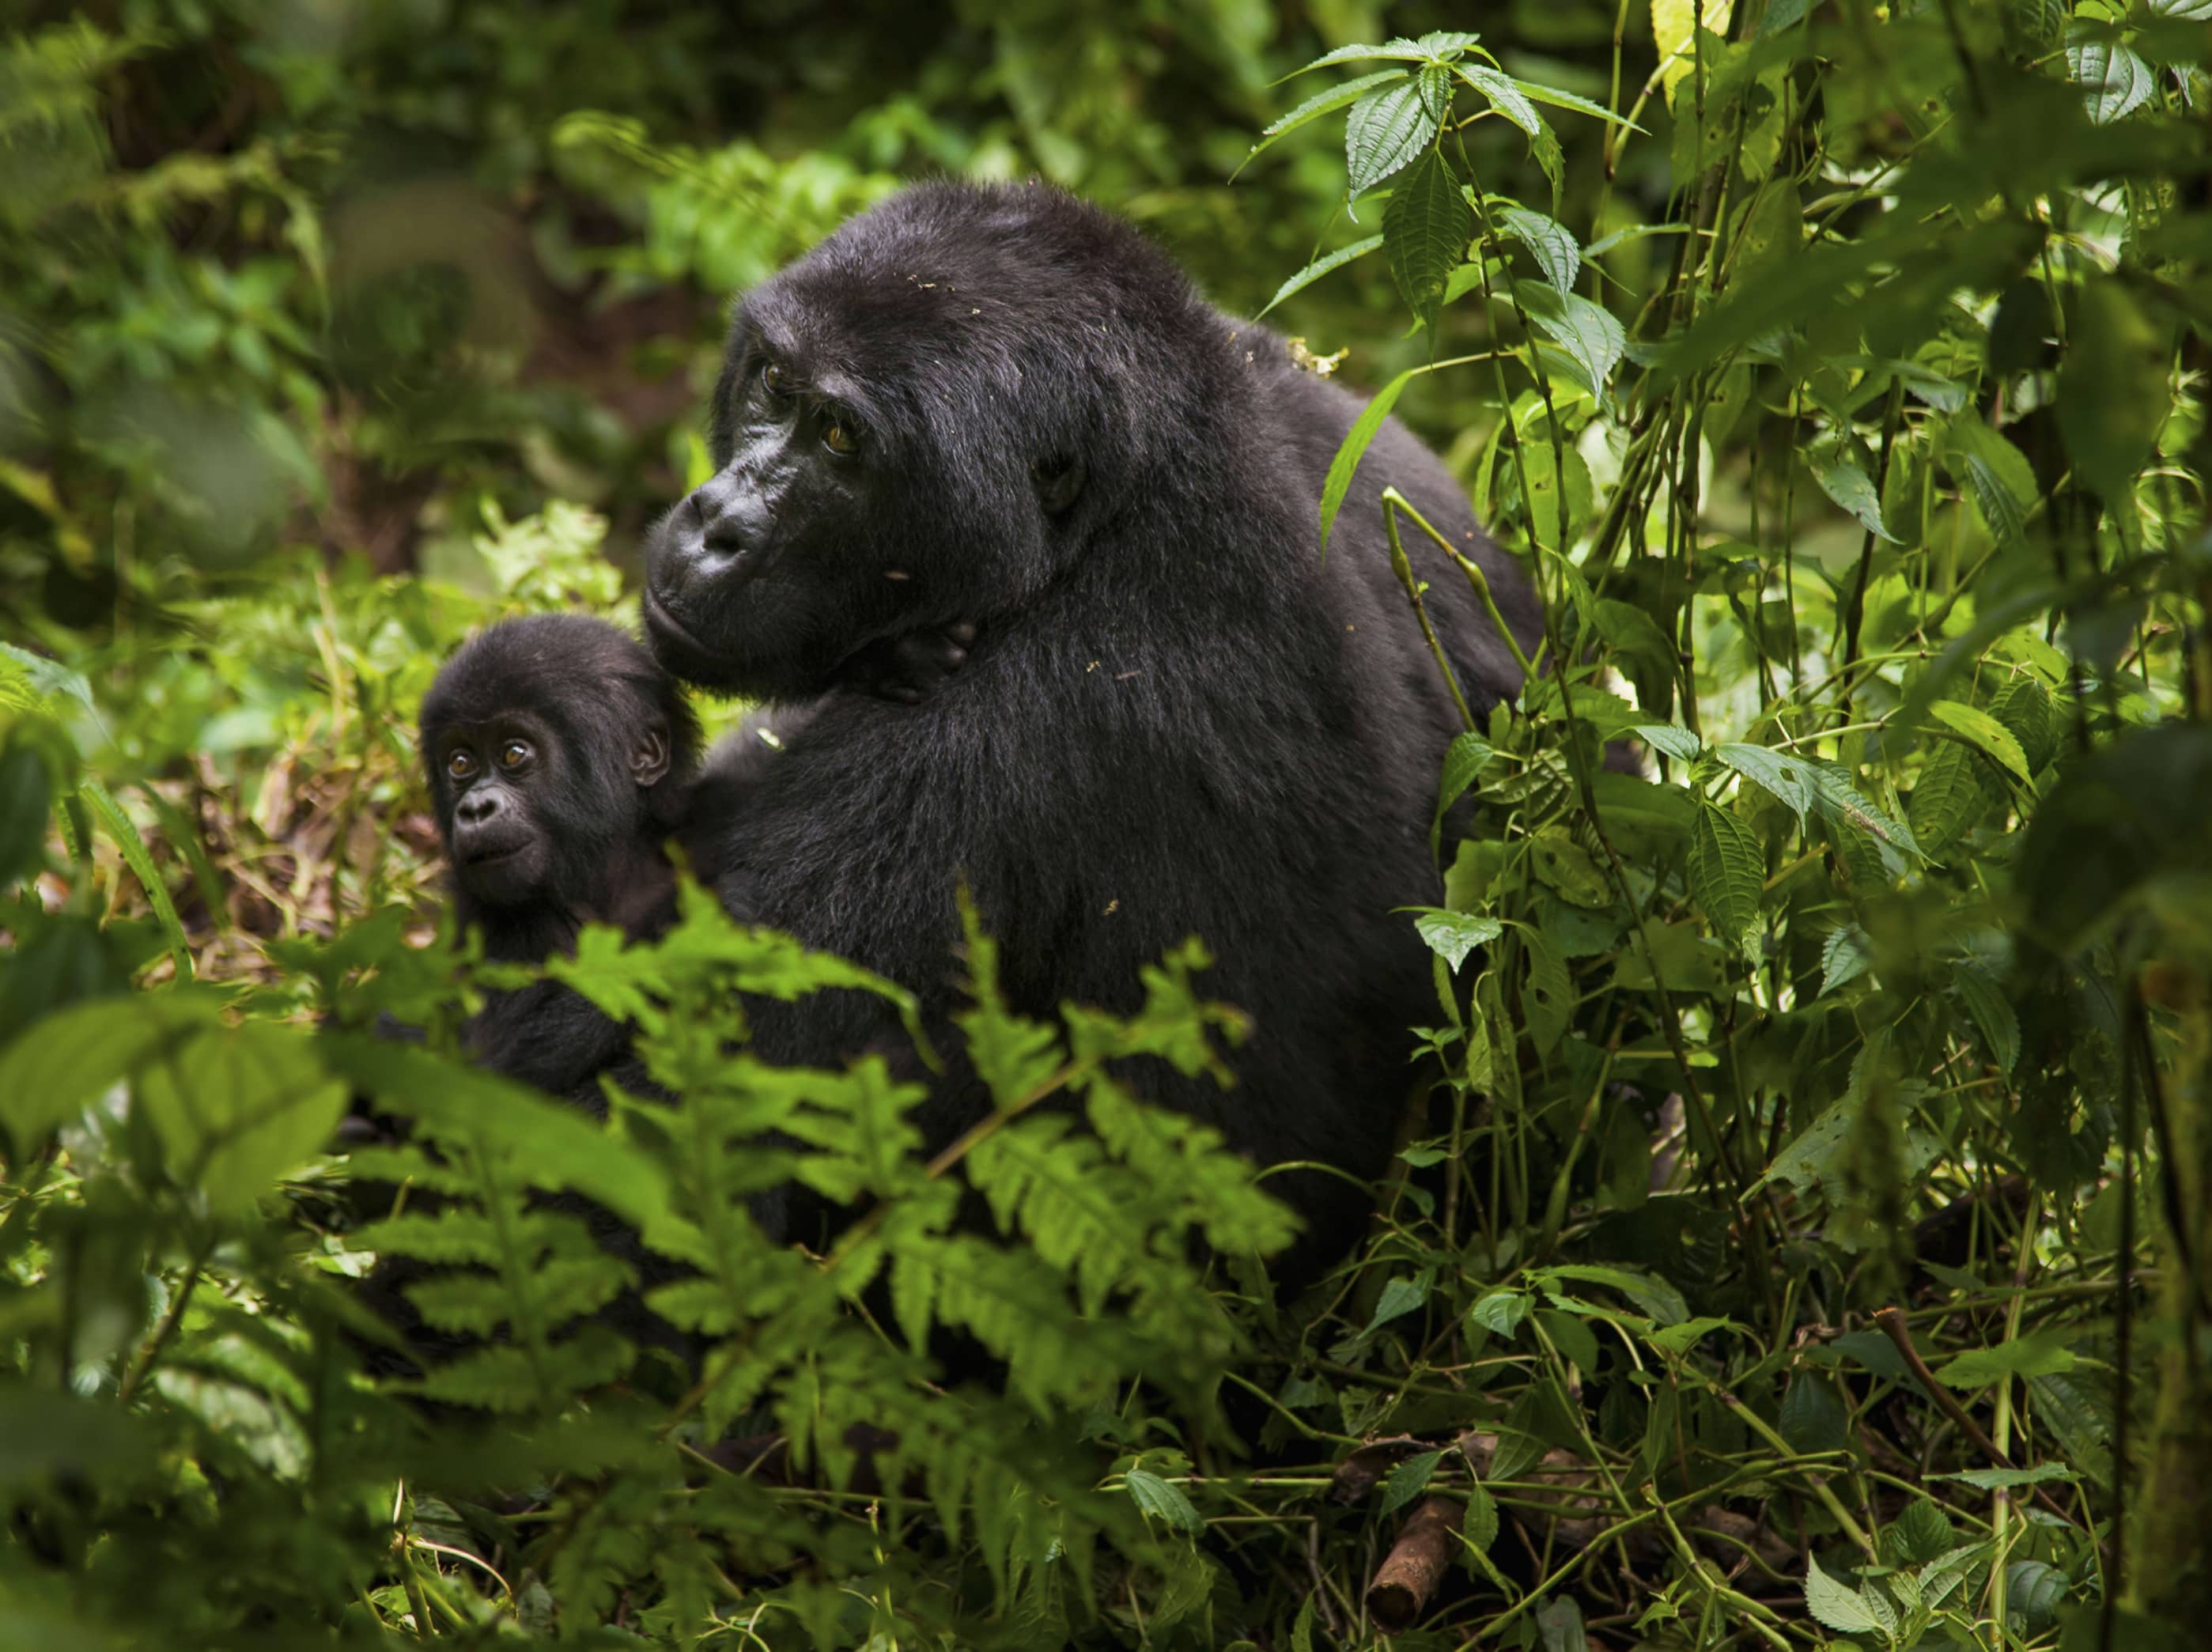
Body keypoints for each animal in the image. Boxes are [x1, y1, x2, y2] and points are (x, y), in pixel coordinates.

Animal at [641, 178, 1539, 1265]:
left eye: (841, 438)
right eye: (773, 381)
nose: (715, 526)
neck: (1129, 501)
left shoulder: (1013, 728)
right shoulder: (1345, 432)